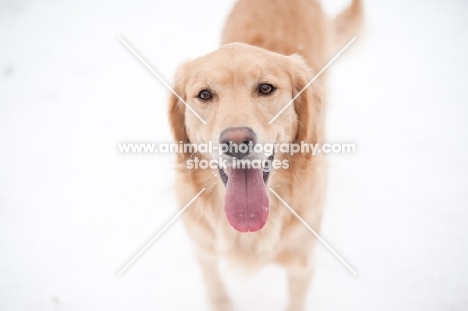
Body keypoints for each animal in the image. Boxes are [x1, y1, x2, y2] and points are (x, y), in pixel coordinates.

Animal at [168, 1, 362, 310]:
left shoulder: (302, 264)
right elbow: (216, 289)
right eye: (205, 94)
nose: (236, 142)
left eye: (266, 88)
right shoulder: (203, 249)